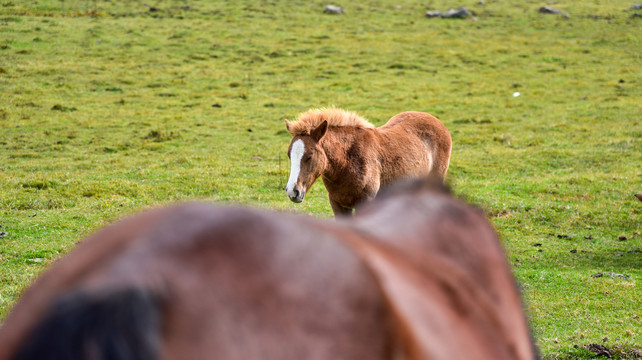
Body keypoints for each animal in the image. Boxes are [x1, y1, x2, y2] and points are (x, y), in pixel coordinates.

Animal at [282, 108, 452, 215]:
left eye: (309, 156)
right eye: (289, 155)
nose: (292, 191)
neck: (348, 162)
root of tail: (439, 123)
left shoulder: (365, 202)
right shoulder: (337, 203)